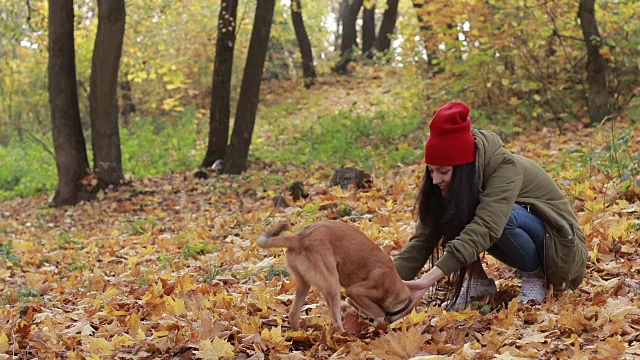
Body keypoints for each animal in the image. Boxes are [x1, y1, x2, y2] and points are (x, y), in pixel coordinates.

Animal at [256, 221, 416, 336]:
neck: (393, 284)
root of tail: (299, 237)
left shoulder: (352, 299)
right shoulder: (355, 291)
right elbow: (379, 313)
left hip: (304, 284)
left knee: (293, 314)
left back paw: (299, 335)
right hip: (332, 285)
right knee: (335, 321)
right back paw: (344, 338)